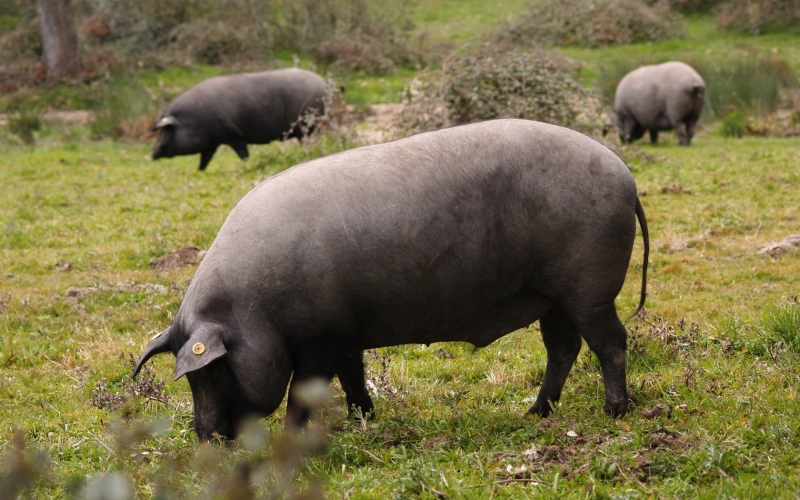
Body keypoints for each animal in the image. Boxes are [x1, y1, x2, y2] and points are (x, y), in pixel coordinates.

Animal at [133, 119, 648, 440]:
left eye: (213, 371)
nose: (204, 437)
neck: (252, 308)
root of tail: (626, 178)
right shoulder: (345, 331)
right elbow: (354, 376)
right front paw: (364, 418)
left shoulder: (319, 338)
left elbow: (305, 392)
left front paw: (292, 437)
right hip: (551, 296)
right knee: (563, 347)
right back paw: (535, 412)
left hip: (588, 285)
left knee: (609, 341)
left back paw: (614, 410)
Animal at [150, 67, 324, 171]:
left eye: (167, 130)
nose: (151, 154)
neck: (196, 121)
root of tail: (323, 83)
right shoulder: (212, 142)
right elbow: (204, 159)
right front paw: (199, 171)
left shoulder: (234, 134)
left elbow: (243, 155)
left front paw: (247, 164)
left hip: (308, 125)